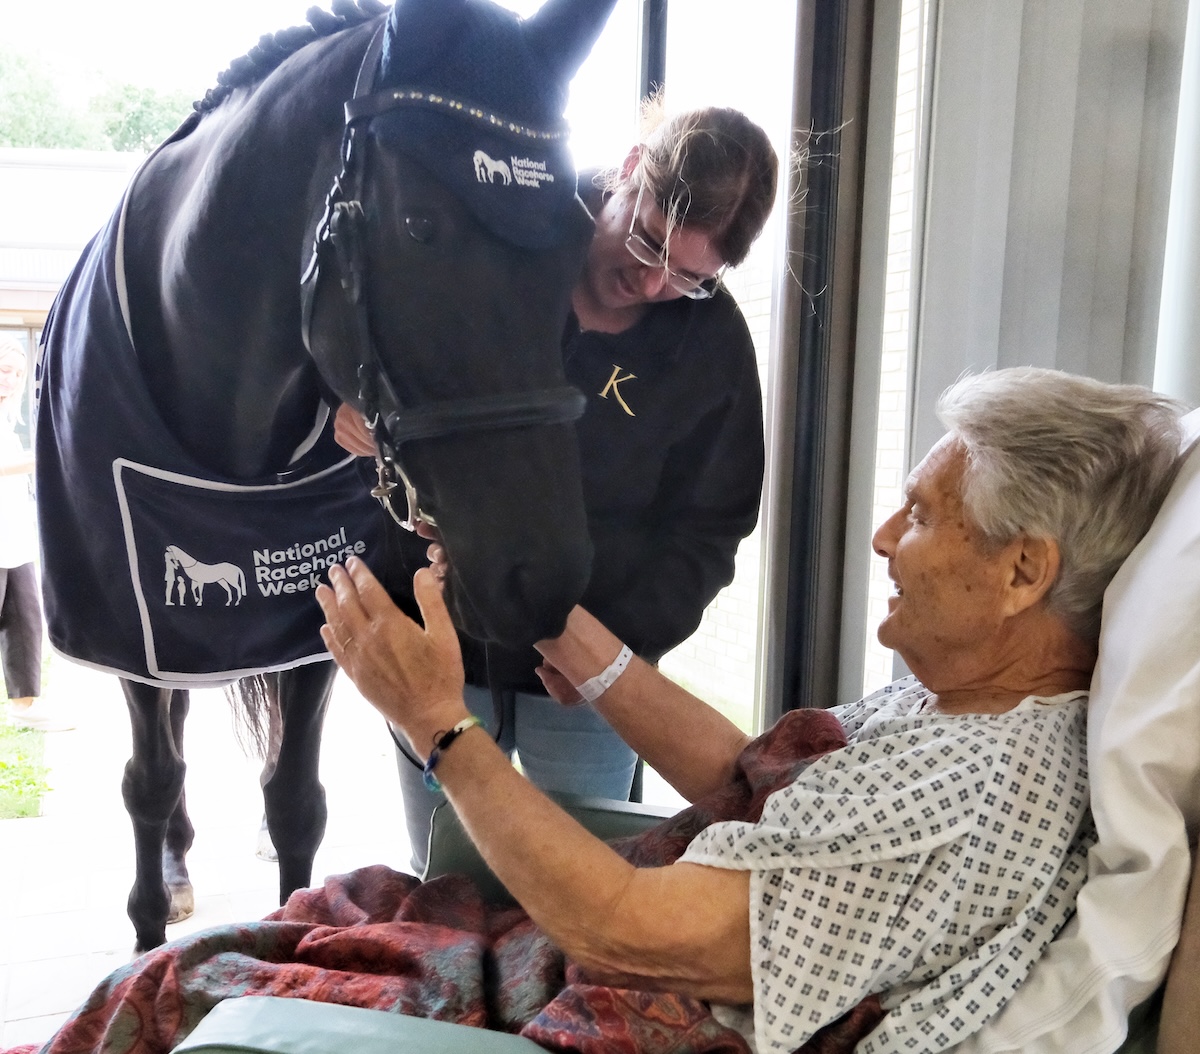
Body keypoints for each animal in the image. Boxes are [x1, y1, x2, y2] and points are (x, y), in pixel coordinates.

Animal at [34, 0, 614, 955]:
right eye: (419, 226)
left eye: (576, 237)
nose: (543, 578)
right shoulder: (131, 628)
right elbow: (149, 783)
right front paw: (149, 934)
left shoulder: (315, 614)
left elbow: (295, 802)